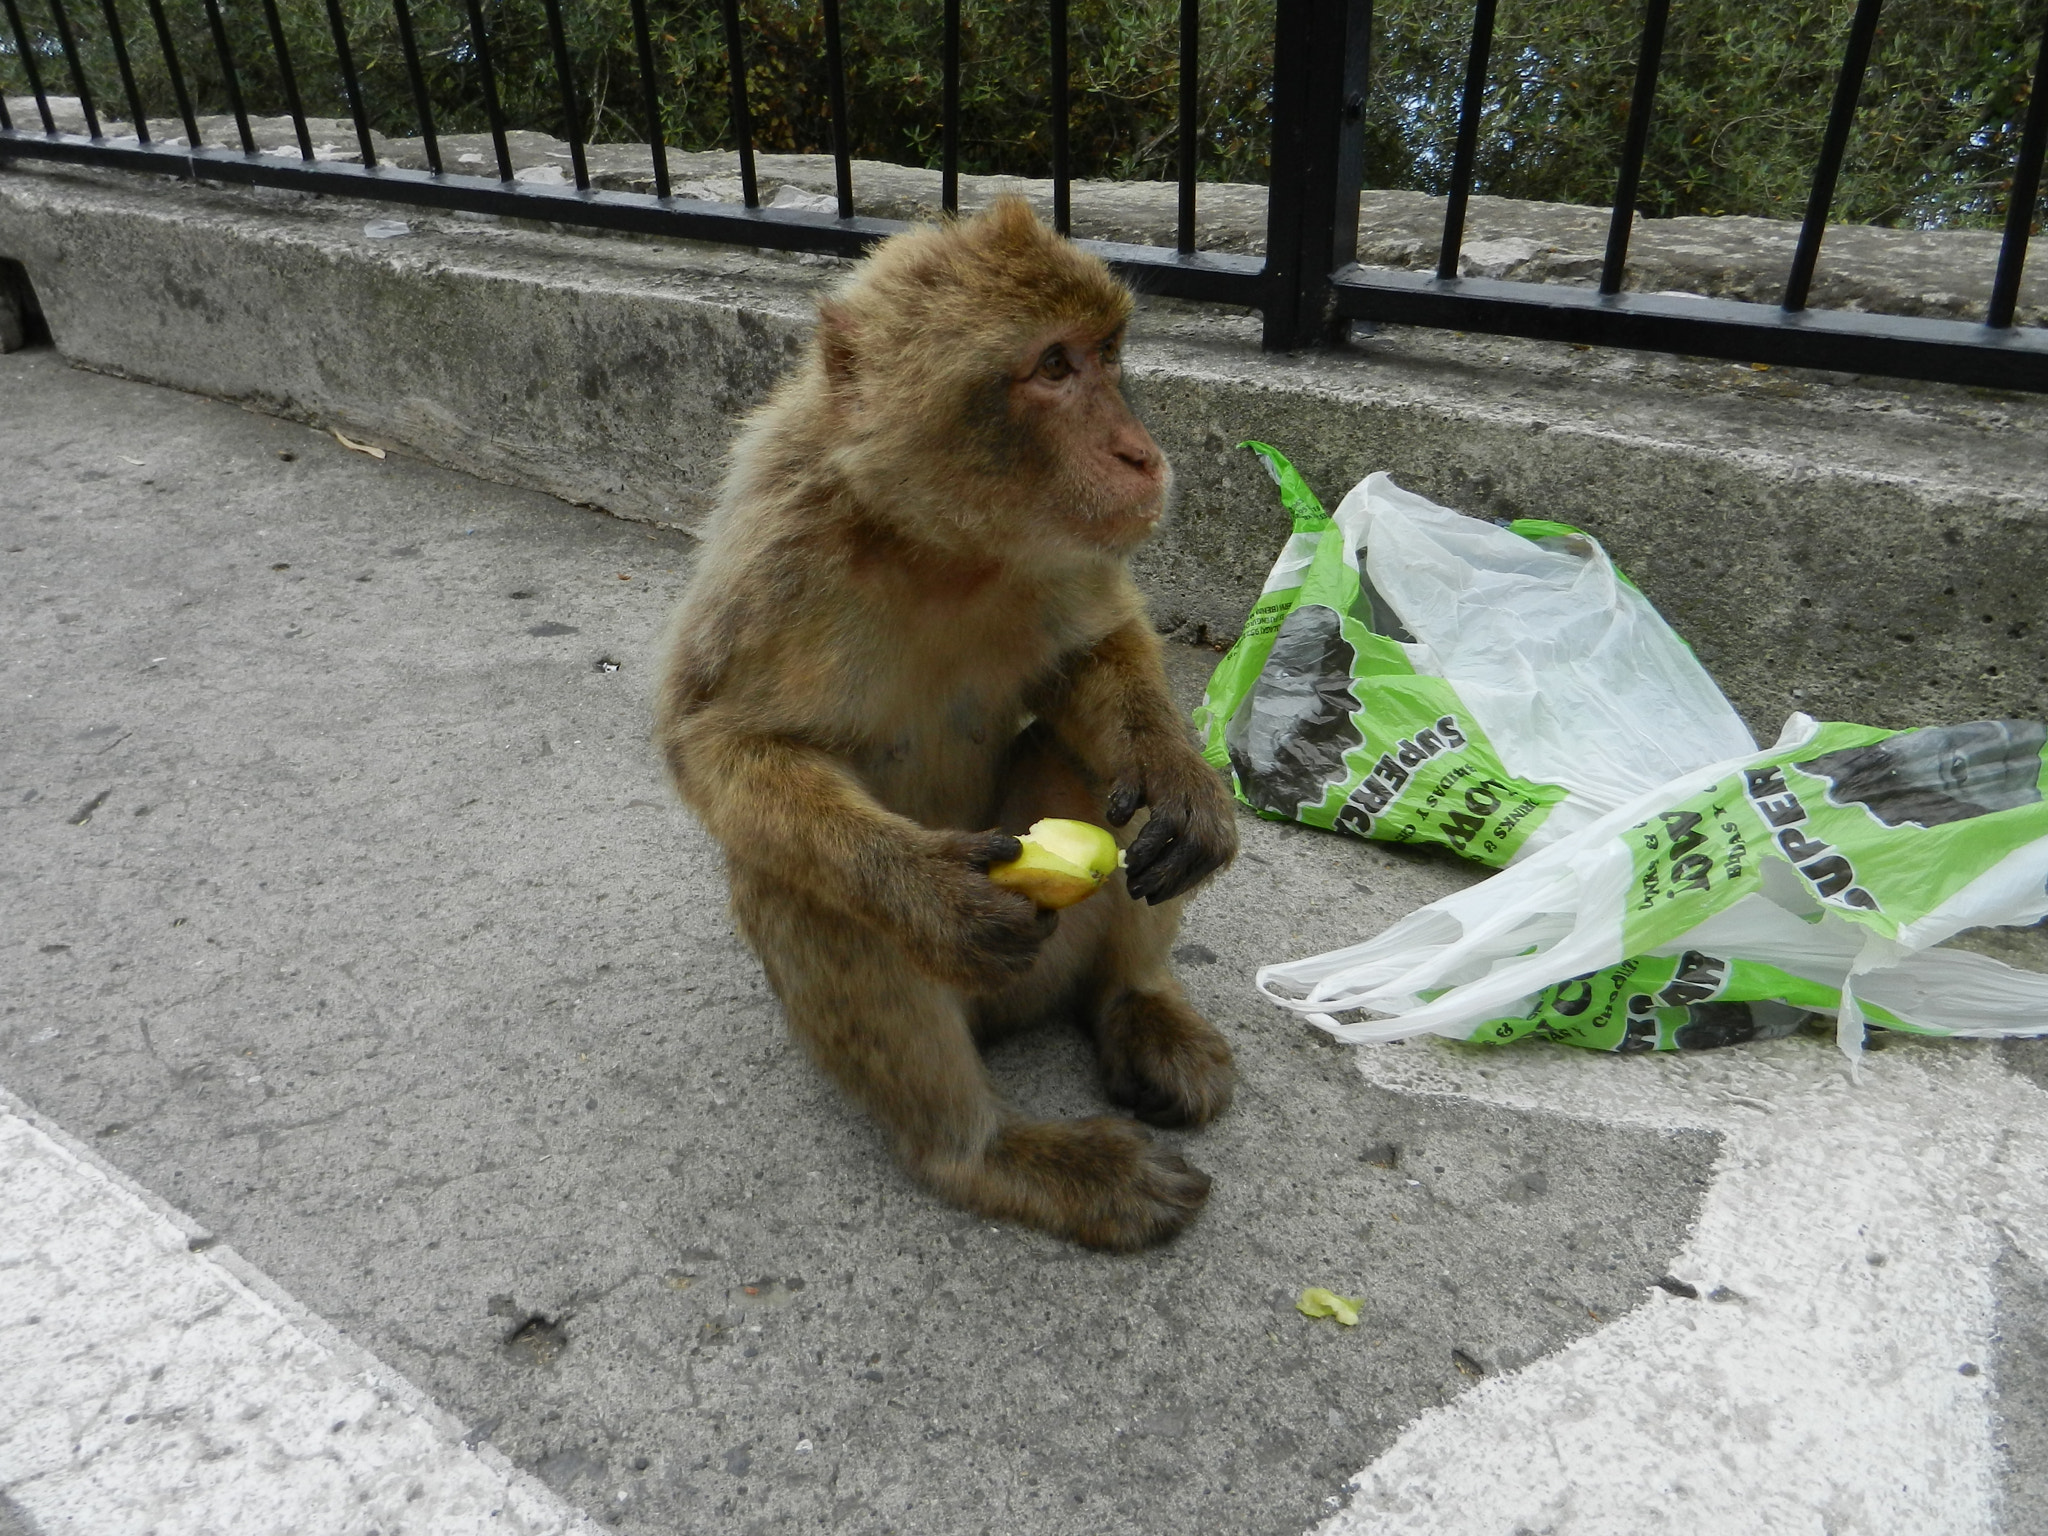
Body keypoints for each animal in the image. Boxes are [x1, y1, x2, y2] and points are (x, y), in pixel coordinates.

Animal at [655, 195, 1236, 1253]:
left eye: (1106, 354)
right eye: (1052, 367)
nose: (1139, 455)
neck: (939, 547)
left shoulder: (1066, 548)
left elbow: (1097, 649)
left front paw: (1180, 777)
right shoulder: (773, 552)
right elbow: (715, 742)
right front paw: (928, 892)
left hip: (1048, 961)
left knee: (1100, 781)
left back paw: (1134, 1002)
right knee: (795, 878)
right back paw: (992, 1155)